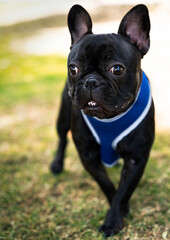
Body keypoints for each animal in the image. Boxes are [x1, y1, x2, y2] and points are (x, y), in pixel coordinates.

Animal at [50, 4, 154, 237]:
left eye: (117, 69)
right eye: (73, 69)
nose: (90, 81)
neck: (109, 118)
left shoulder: (136, 159)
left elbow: (124, 191)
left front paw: (114, 218)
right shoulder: (88, 156)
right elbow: (107, 184)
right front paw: (119, 212)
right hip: (62, 118)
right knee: (62, 139)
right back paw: (57, 165)